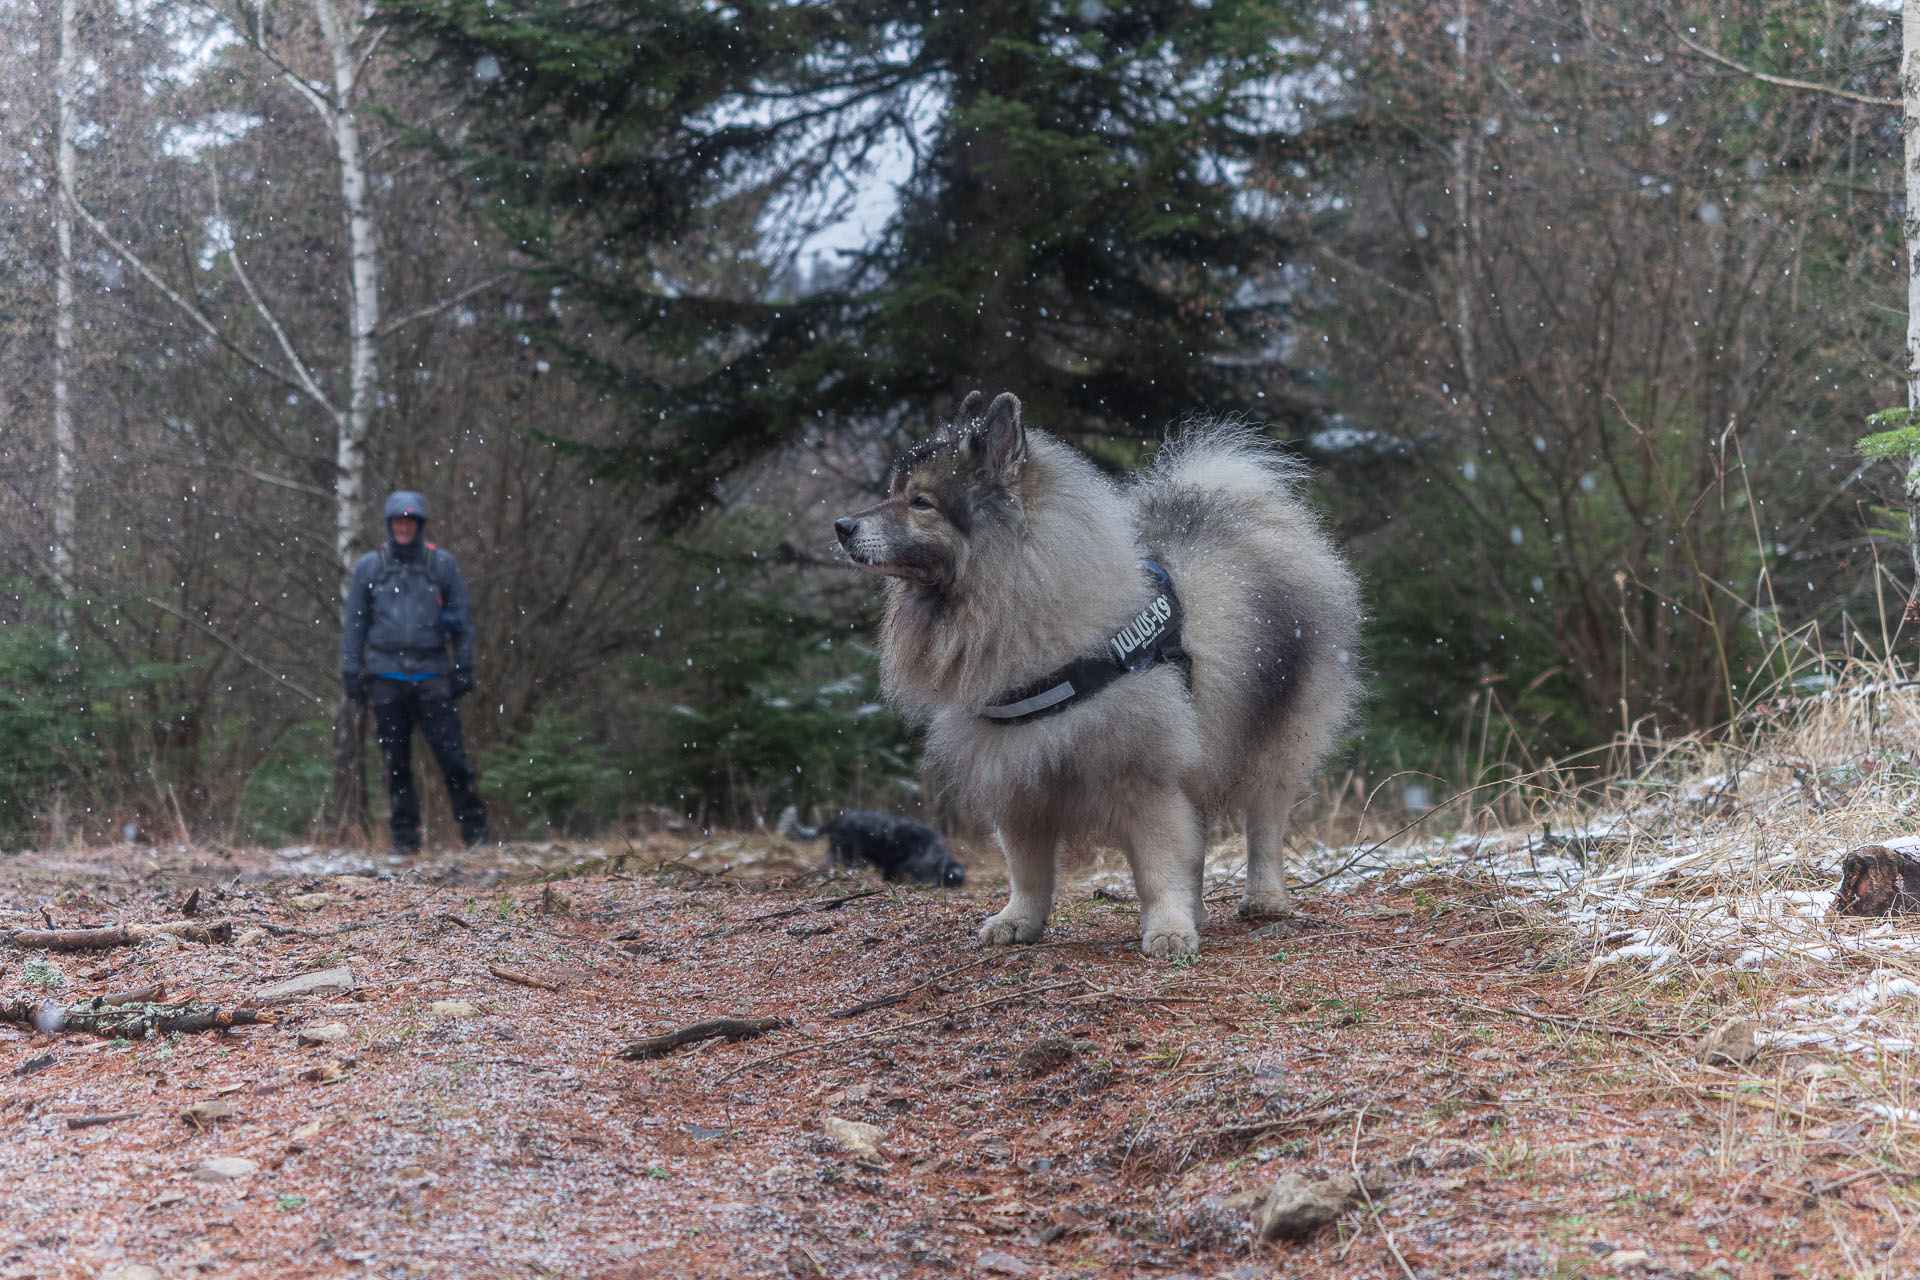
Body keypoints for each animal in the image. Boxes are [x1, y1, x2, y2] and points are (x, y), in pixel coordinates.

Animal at [840, 395, 1367, 955]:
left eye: (920, 502)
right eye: (892, 493)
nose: (842, 526)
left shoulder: (1144, 775)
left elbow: (1158, 867)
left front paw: (1168, 927)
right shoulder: (1017, 781)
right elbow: (1027, 871)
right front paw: (1019, 920)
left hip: (1273, 740)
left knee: (1264, 822)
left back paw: (1264, 898)